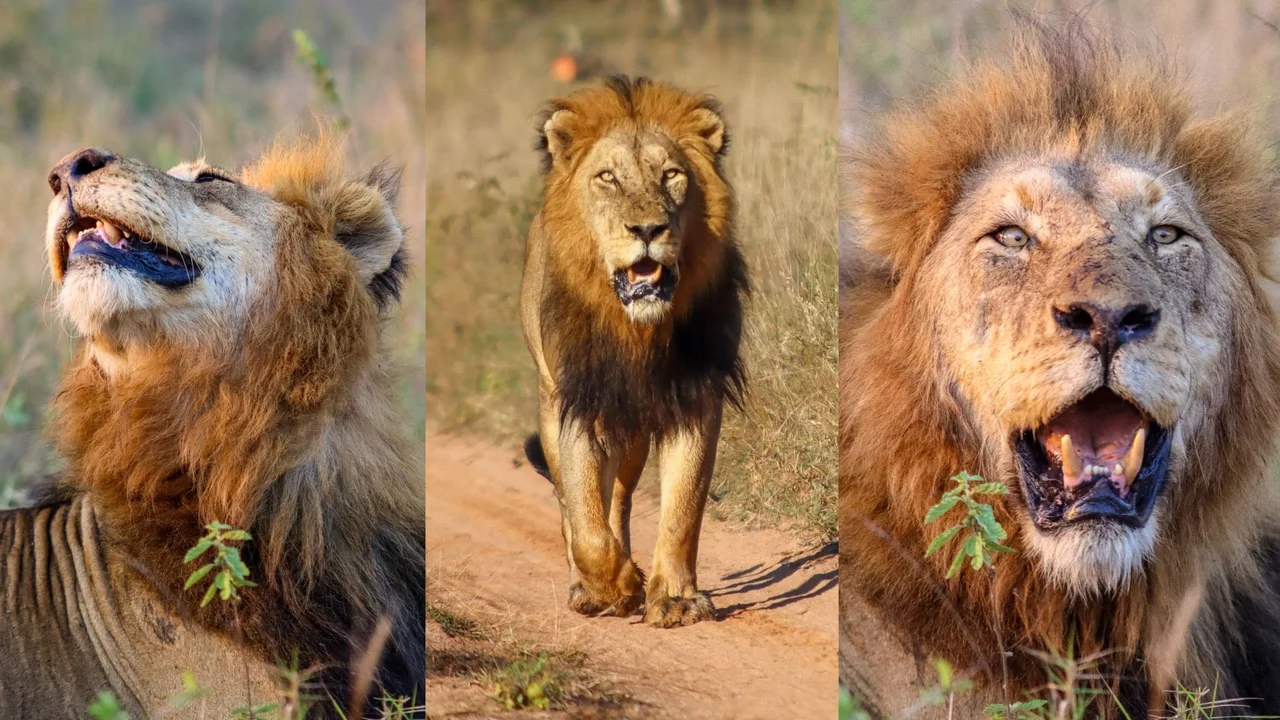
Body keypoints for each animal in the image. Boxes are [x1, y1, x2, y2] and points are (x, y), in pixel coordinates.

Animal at [520, 76, 748, 627]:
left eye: (672, 175)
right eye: (608, 178)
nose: (646, 230)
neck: (637, 331)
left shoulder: (695, 398)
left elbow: (683, 508)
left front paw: (676, 598)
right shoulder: (576, 398)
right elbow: (583, 514)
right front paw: (613, 586)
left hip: (634, 430)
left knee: (620, 499)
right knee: (571, 501)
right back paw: (589, 586)